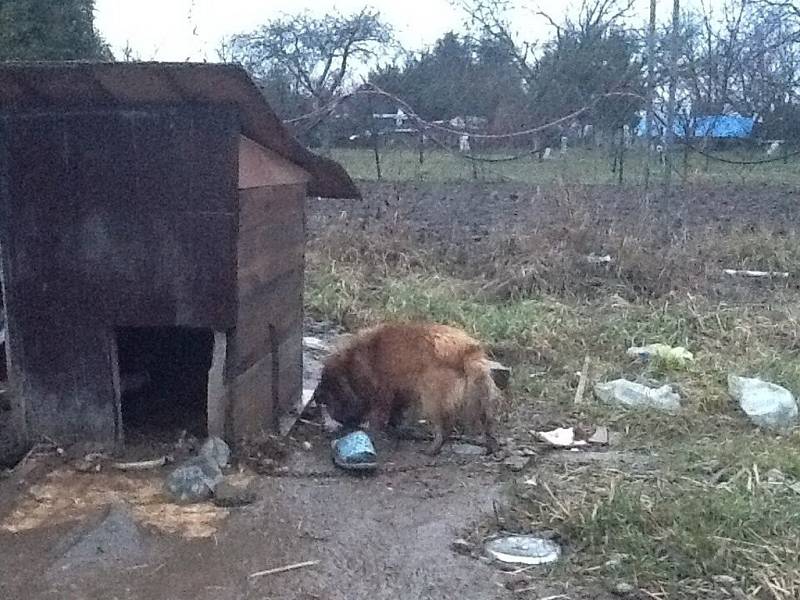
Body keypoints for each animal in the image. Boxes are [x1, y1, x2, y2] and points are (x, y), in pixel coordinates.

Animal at [312, 322, 500, 452]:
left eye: (330, 400)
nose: (340, 422)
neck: (350, 366)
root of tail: (467, 351)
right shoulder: (399, 391)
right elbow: (395, 411)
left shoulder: (382, 391)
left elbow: (379, 414)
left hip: (432, 395)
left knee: (444, 425)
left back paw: (433, 448)